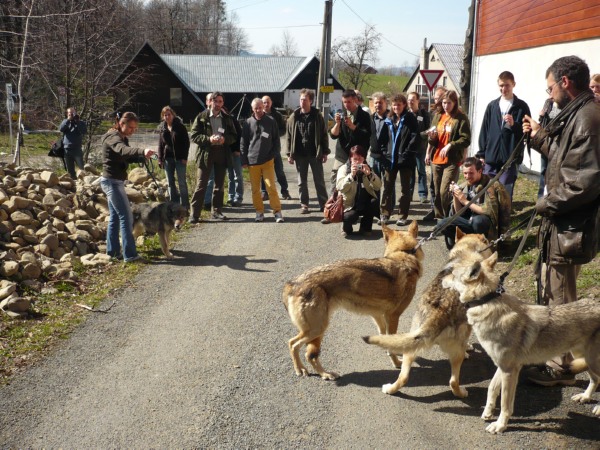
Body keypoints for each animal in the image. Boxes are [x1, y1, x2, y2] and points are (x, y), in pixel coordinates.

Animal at [284, 221, 424, 380]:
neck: (404, 254)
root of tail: (292, 283)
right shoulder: (393, 317)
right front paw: (396, 362)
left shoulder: (379, 316)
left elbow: (385, 338)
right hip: (317, 328)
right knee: (295, 345)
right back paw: (315, 372)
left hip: (317, 331)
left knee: (306, 353)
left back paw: (315, 372)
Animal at [360, 229, 492, 398]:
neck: (466, 252)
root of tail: (439, 312)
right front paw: (469, 347)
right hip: (455, 354)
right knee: (453, 382)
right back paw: (462, 393)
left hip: (411, 346)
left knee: (403, 377)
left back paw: (390, 389)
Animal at [440, 251, 600, 434]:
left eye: (452, 273)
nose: (440, 278)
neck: (488, 301)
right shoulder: (502, 366)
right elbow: (491, 388)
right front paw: (488, 412)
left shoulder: (509, 370)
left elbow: (505, 404)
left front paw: (500, 425)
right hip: (585, 358)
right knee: (595, 380)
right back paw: (585, 397)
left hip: (592, 361)